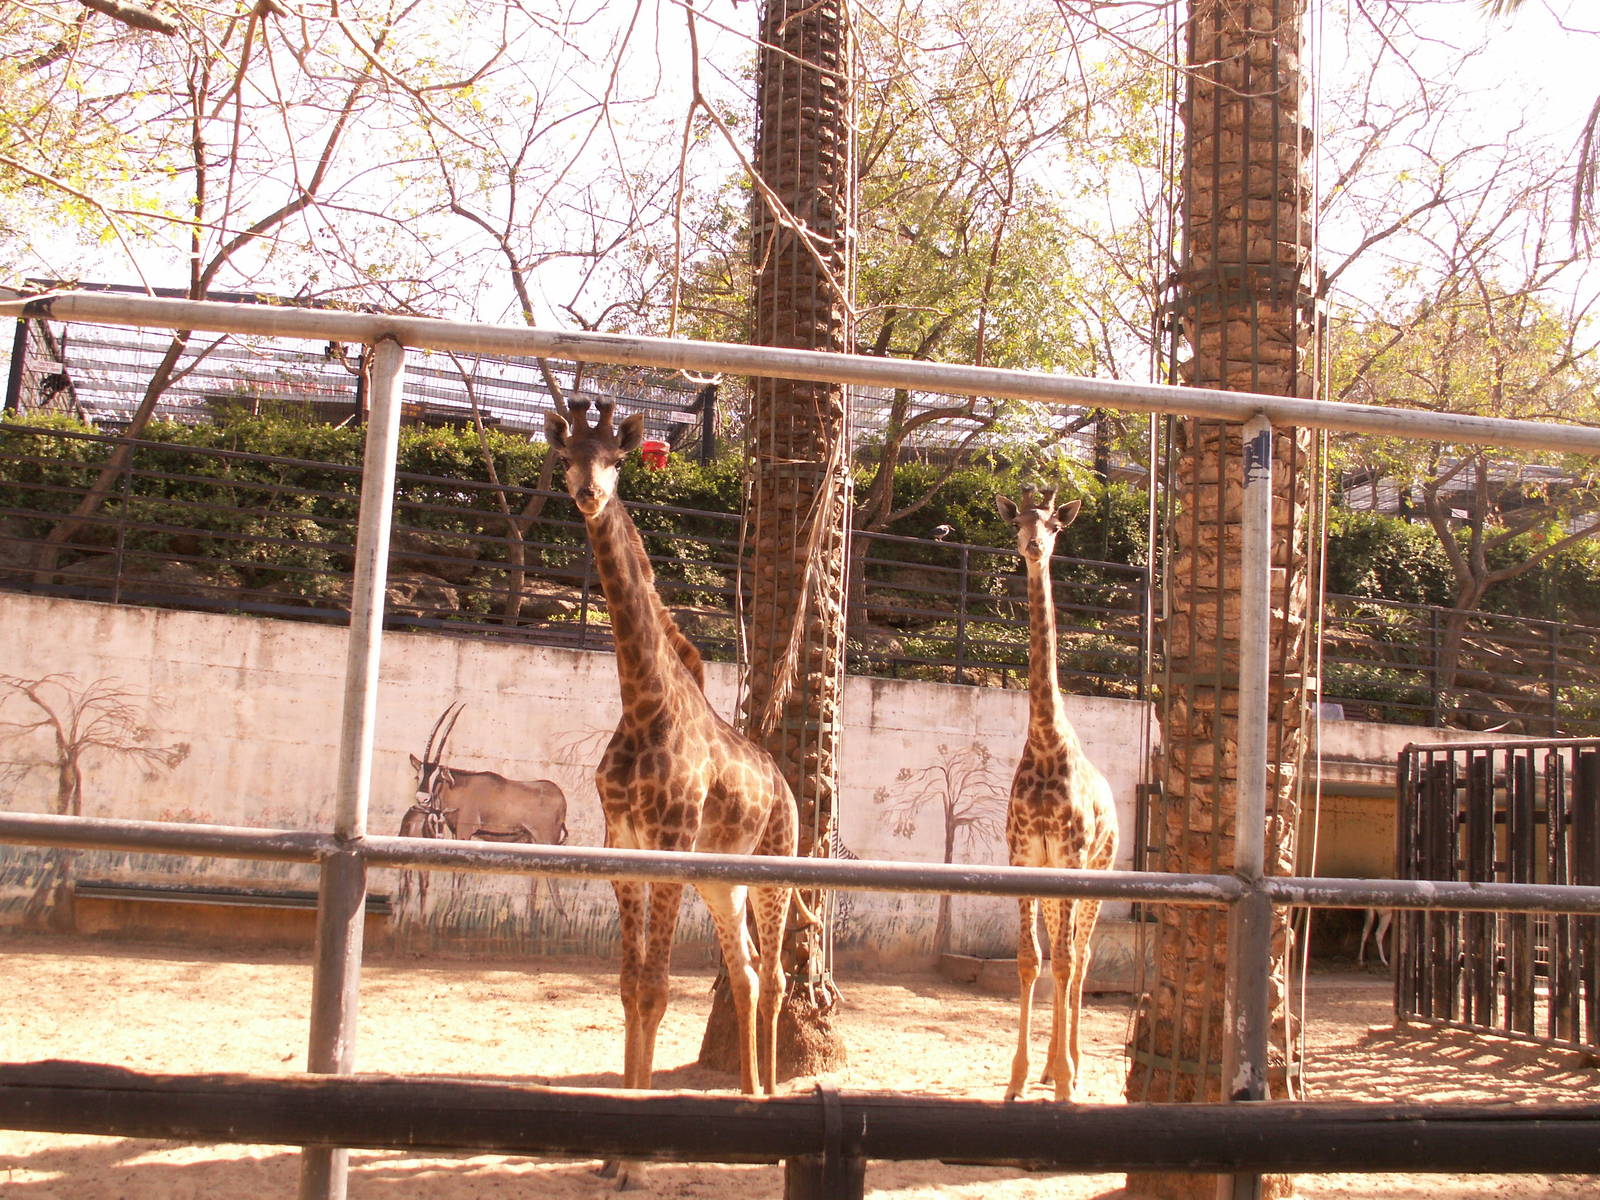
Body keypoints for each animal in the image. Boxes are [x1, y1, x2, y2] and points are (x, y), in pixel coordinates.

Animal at [544, 400, 799, 1181]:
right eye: (567, 457)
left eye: (616, 460)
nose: (588, 494)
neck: (642, 702)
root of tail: (787, 785)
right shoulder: (622, 849)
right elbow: (631, 988)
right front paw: (608, 1156)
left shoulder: (668, 845)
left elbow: (656, 989)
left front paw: (632, 1160)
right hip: (723, 881)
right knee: (748, 973)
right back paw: (747, 1100)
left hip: (774, 868)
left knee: (776, 977)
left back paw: (770, 1107)